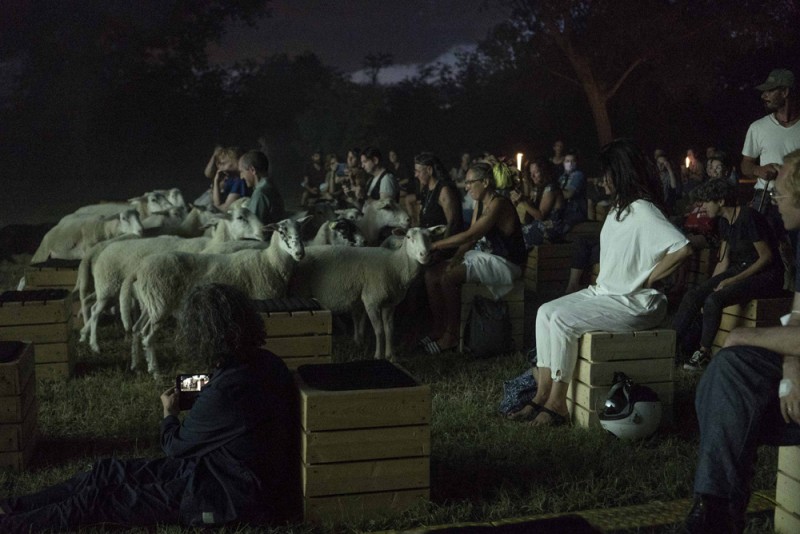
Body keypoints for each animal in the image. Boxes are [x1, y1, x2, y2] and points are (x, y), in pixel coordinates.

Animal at [125, 217, 310, 376]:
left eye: (301, 230)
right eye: (282, 231)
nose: (300, 253)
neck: (271, 262)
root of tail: (138, 270)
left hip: (149, 304)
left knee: (136, 329)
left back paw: (136, 366)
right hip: (160, 303)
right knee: (147, 335)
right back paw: (155, 372)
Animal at [292, 224, 444, 362]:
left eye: (430, 237)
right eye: (408, 237)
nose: (425, 255)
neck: (394, 265)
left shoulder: (390, 304)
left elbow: (389, 330)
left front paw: (391, 356)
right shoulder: (372, 301)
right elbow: (379, 330)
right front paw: (378, 356)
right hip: (301, 292)